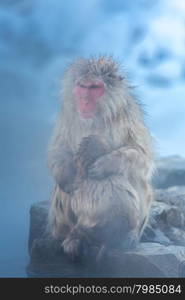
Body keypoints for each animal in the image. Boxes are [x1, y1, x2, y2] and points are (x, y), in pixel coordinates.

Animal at [47, 56, 153, 262]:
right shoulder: (67, 114)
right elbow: (58, 150)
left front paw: (105, 162)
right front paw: (67, 176)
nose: (84, 101)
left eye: (95, 87)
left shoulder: (127, 116)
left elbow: (142, 156)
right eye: (82, 87)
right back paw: (74, 239)